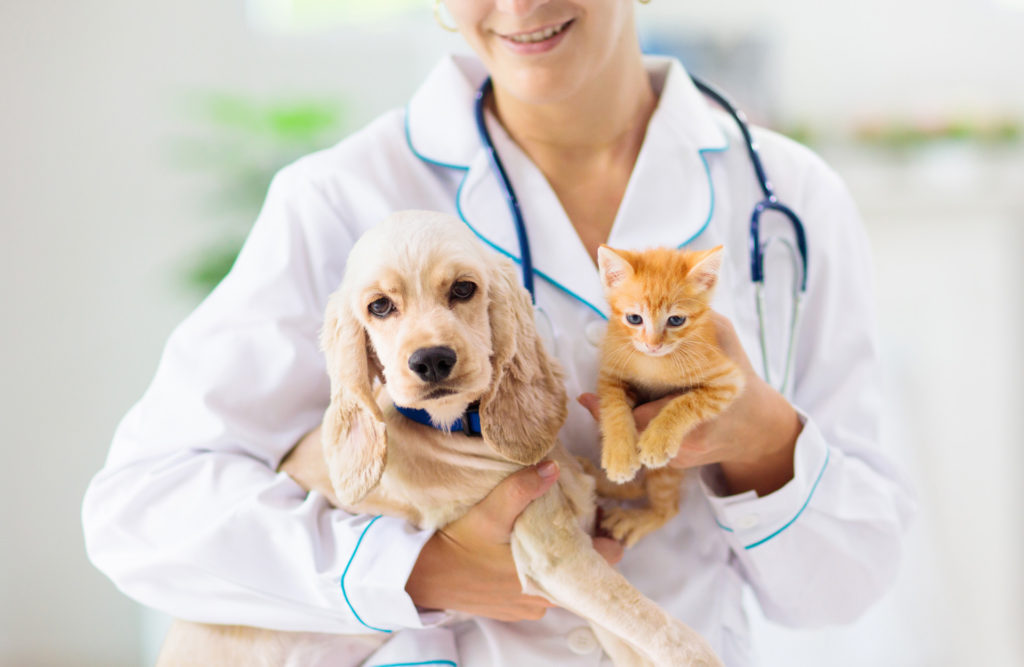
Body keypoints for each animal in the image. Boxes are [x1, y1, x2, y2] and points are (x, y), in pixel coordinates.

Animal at [593, 244, 745, 549]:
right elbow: (613, 408)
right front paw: (619, 454)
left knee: (668, 508)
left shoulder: (727, 380)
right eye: (634, 318)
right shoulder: (611, 374)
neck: (654, 364)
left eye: (676, 320)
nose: (653, 345)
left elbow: (687, 402)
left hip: (667, 472)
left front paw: (658, 439)